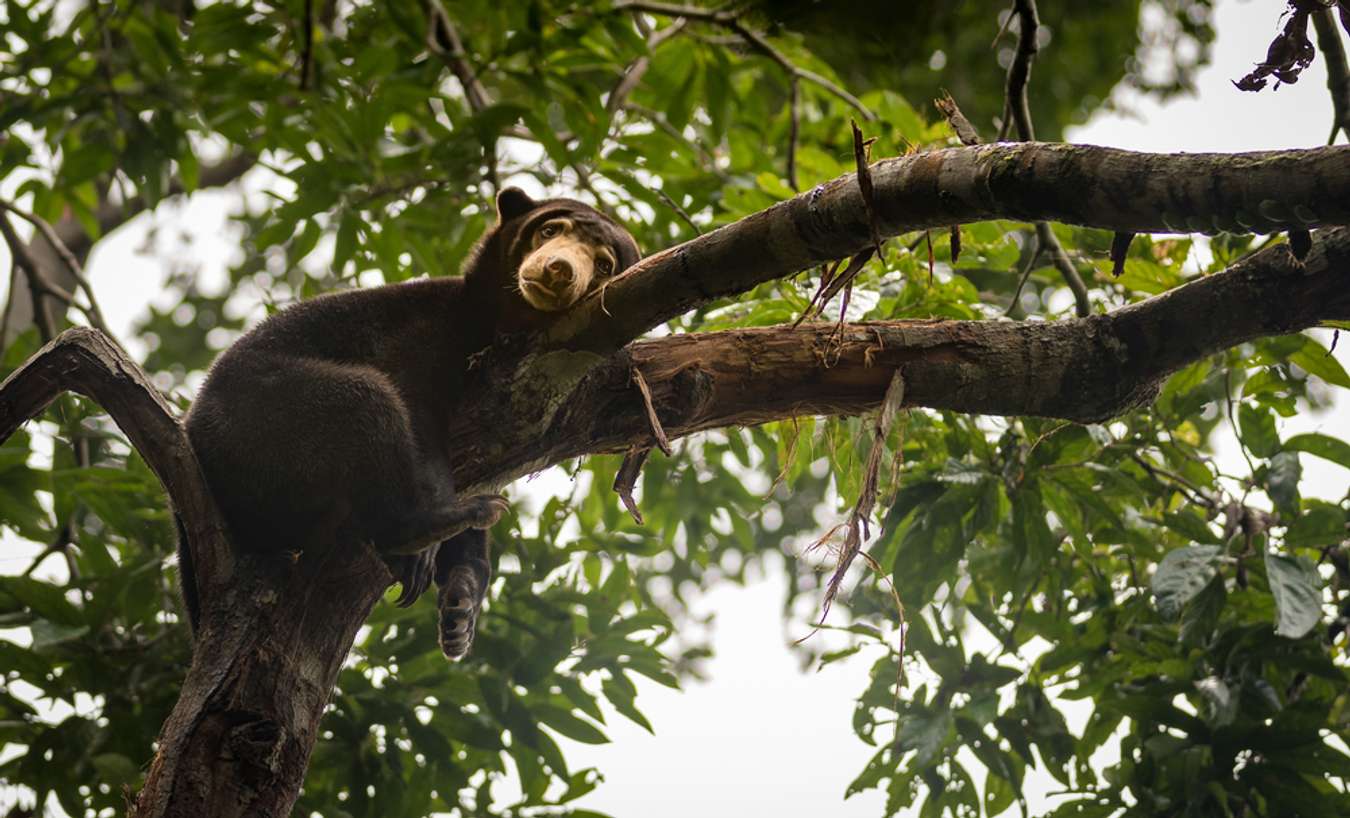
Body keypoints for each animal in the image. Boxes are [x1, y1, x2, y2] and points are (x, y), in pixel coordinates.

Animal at [182, 190, 639, 661]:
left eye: (604, 264)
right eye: (549, 230)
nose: (559, 269)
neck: (497, 323)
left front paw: (462, 603)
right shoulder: (421, 335)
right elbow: (418, 417)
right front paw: (443, 535)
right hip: (260, 415)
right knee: (366, 400)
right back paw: (427, 525)